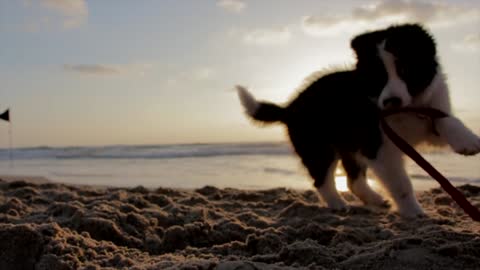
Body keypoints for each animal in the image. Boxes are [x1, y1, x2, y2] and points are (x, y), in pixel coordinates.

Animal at [237, 23, 480, 217]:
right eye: (378, 77)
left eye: (405, 69)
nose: (391, 101)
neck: (408, 109)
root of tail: (291, 107)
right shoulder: (379, 146)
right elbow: (401, 183)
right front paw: (413, 212)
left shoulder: (427, 116)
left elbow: (445, 119)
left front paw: (467, 141)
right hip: (320, 148)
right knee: (322, 179)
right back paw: (338, 204)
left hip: (350, 146)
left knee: (353, 180)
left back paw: (375, 199)